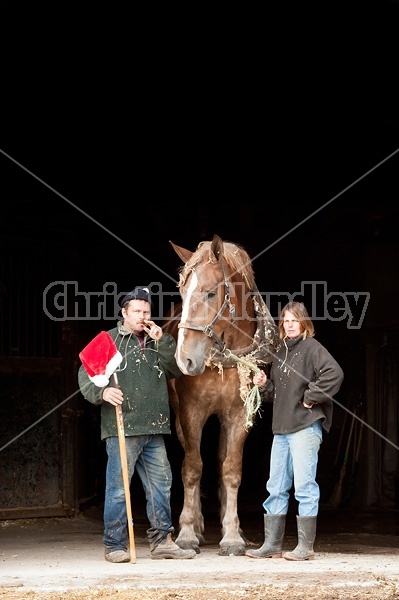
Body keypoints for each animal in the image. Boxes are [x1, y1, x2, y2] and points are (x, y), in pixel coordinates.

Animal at [164, 234, 280, 552]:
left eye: (210, 294)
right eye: (182, 292)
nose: (184, 359)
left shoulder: (239, 415)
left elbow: (230, 468)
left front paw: (232, 535)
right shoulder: (191, 411)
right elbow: (192, 467)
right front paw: (188, 531)